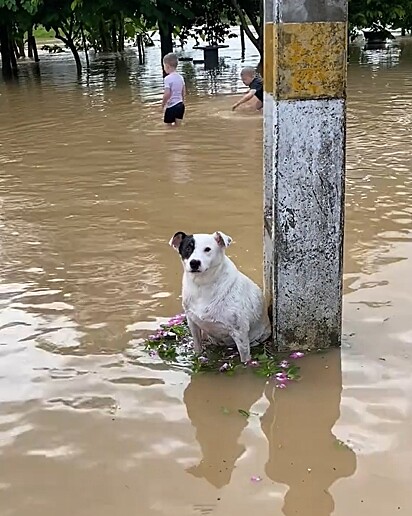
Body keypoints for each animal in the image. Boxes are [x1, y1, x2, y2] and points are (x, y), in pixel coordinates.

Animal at [169, 230, 272, 362]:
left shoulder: (240, 332)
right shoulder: (193, 323)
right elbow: (197, 347)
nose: (194, 262)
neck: (203, 285)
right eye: (188, 248)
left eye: (207, 249)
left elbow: (245, 358)